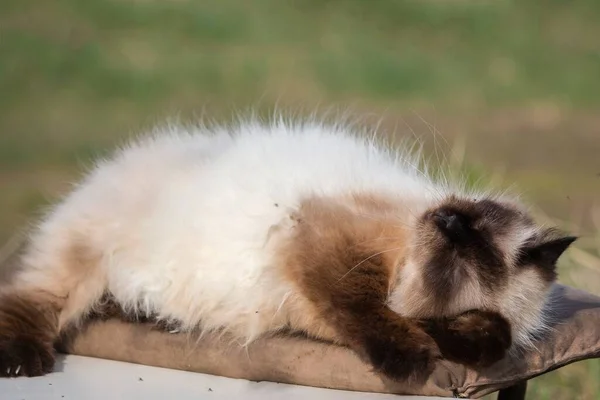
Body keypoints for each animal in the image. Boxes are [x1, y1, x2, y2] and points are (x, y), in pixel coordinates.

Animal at [0, 118, 576, 382]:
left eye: (461, 251)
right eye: (464, 225)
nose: (448, 218)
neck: (400, 263)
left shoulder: (314, 308)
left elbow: (493, 335)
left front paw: (438, 339)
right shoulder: (324, 245)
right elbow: (365, 307)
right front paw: (409, 359)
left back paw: (145, 316)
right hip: (81, 260)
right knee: (31, 299)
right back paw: (23, 361)